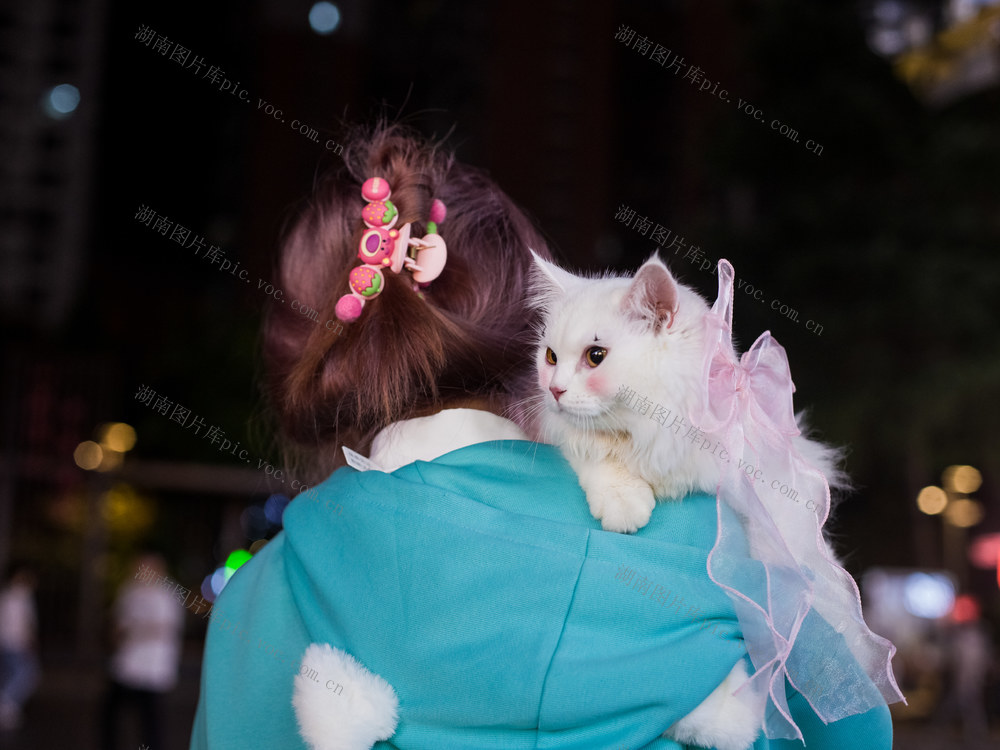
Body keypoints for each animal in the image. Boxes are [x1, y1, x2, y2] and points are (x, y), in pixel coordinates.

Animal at [524, 254, 844, 750]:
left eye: (596, 356)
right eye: (550, 357)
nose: (554, 390)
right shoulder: (576, 439)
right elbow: (599, 460)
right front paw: (624, 503)